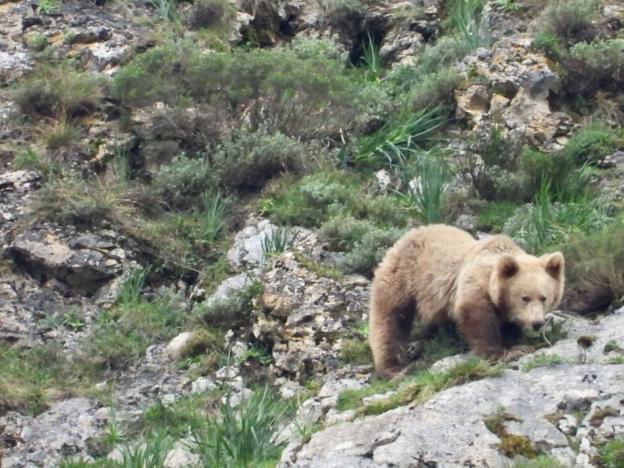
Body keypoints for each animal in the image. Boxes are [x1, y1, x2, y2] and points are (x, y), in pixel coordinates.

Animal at [370, 225, 564, 378]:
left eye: (544, 298)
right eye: (525, 298)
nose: (537, 323)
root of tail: (407, 235)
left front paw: (514, 342)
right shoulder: (473, 285)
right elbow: (477, 318)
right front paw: (505, 352)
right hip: (404, 276)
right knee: (390, 321)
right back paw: (393, 368)